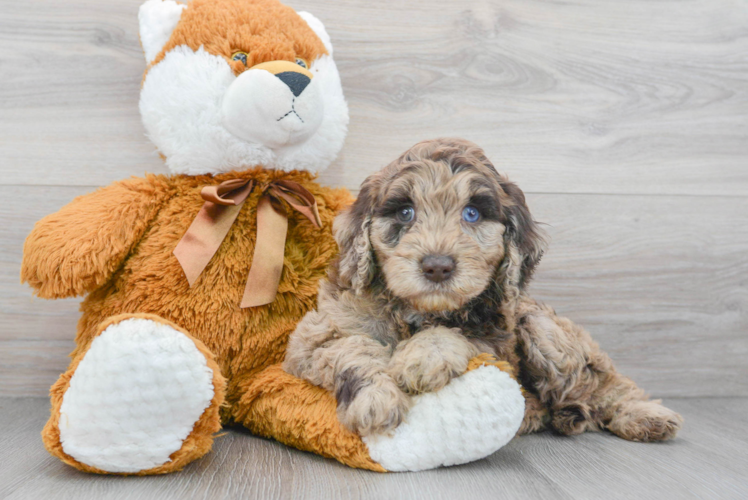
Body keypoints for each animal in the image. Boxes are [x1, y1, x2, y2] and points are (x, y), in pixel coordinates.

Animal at [282, 138, 684, 442]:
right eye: (405, 212)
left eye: (472, 213)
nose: (437, 266)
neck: (417, 311)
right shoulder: (315, 337)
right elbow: (353, 348)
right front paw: (375, 400)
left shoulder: (498, 339)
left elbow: (457, 334)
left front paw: (422, 357)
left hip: (542, 327)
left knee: (601, 383)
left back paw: (644, 414)